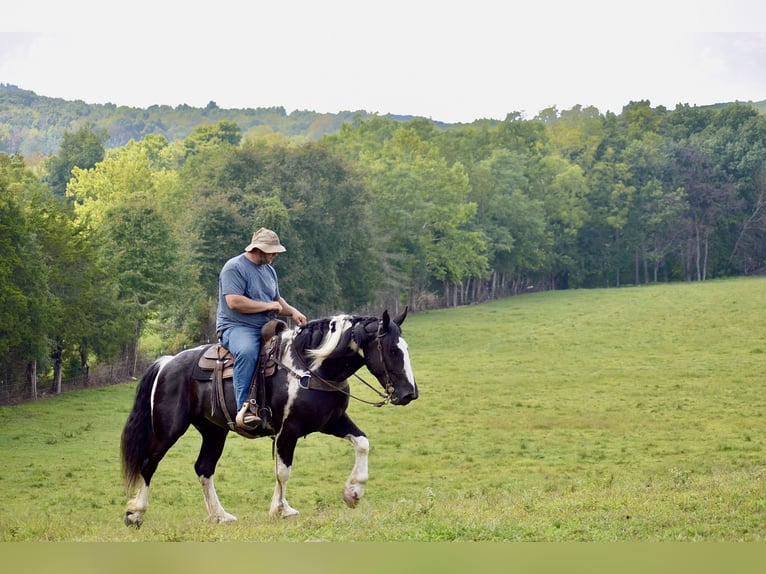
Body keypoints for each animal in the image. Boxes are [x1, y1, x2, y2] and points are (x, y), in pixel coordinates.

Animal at [121, 310, 420, 528]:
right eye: (393, 350)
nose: (409, 393)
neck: (311, 368)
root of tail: (167, 362)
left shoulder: (332, 422)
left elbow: (362, 443)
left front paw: (353, 493)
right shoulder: (289, 431)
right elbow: (283, 471)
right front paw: (281, 509)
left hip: (214, 431)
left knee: (204, 468)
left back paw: (220, 516)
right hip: (169, 428)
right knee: (148, 464)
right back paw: (135, 514)